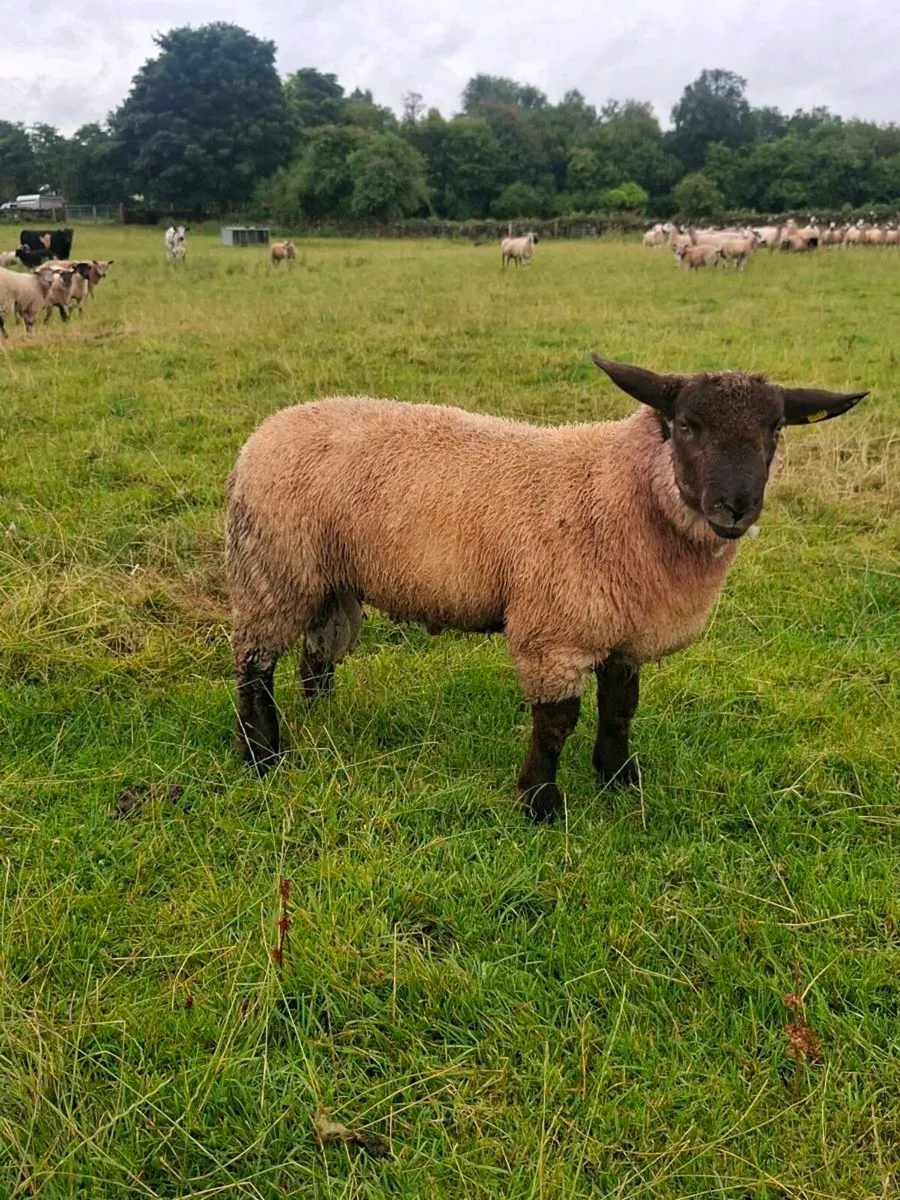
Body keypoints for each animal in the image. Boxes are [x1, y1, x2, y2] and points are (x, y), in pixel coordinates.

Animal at [225, 354, 867, 822]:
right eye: (688, 426)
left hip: (328, 579)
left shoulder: (622, 629)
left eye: (775, 430)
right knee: (255, 665)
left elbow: (620, 709)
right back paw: (265, 755)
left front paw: (617, 779)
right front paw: (540, 804)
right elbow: (556, 724)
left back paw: (323, 716)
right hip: (272, 568)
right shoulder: (554, 630)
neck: (618, 489)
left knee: (317, 654)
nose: (735, 508)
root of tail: (266, 429)